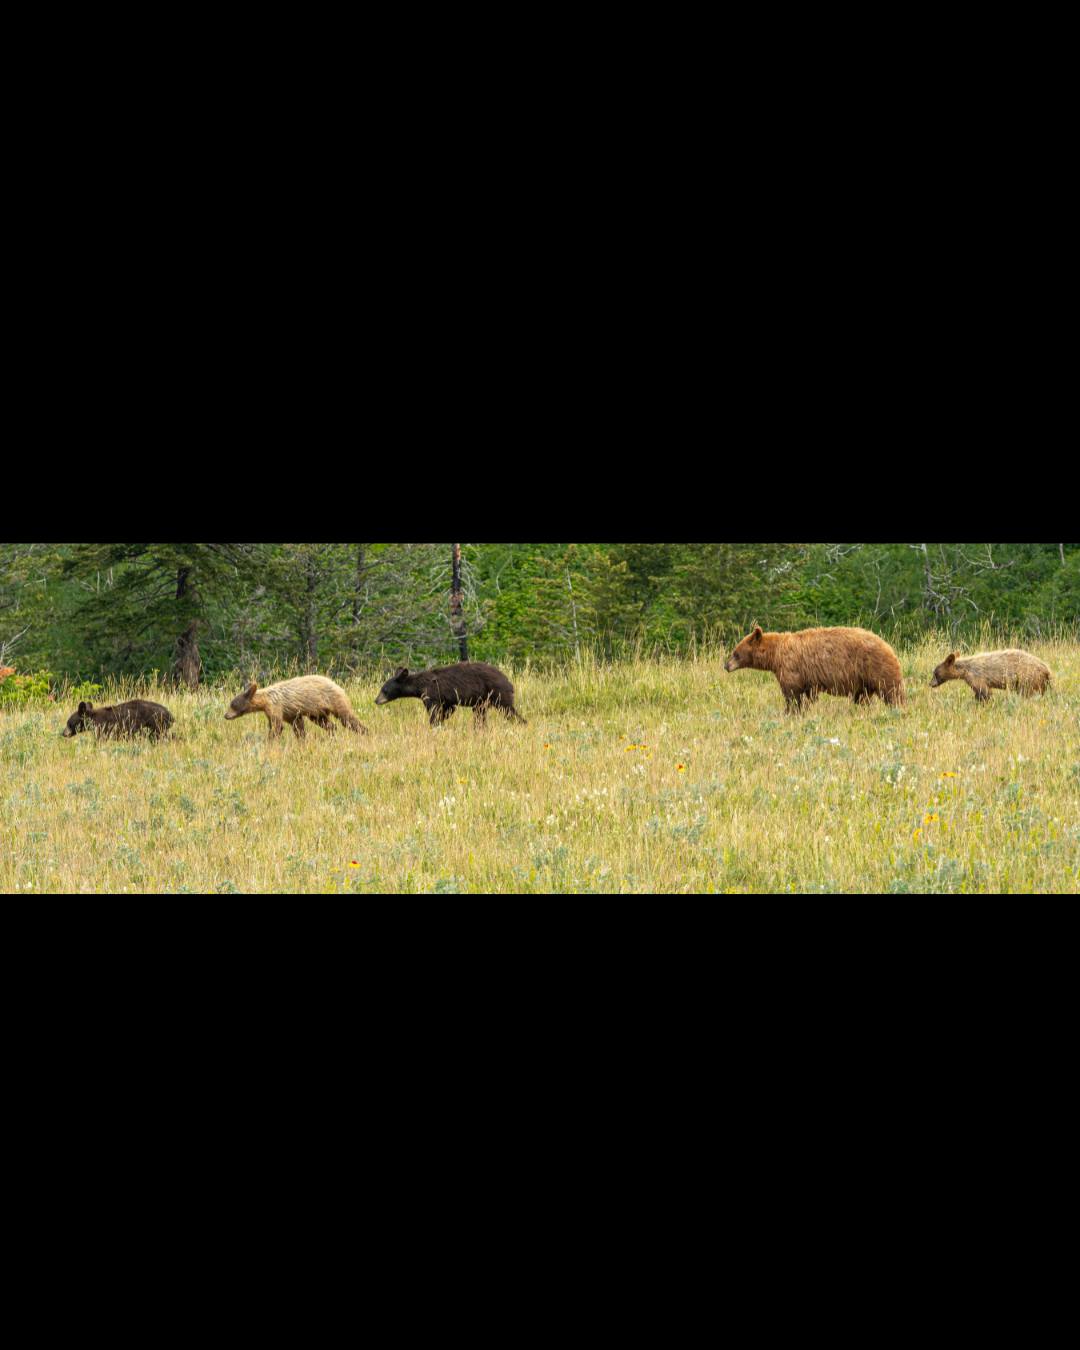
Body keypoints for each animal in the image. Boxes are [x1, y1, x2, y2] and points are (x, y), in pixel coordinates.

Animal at [225, 675, 368, 740]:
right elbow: (298, 726)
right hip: (316, 711)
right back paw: (331, 734)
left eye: (232, 704)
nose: (226, 715)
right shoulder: (289, 713)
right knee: (326, 723)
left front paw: (270, 741)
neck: (264, 700)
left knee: (348, 719)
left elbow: (277, 726)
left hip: (334, 701)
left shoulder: (275, 706)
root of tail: (339, 687)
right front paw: (303, 739)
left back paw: (365, 732)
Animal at [375, 662, 527, 727]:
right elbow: (449, 709)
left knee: (508, 710)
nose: (376, 700)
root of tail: (508, 681)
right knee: (480, 715)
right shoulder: (444, 698)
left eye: (384, 690)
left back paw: (522, 723)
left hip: (497, 693)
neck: (419, 685)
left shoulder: (431, 693)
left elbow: (434, 711)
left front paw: (434, 724)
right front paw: (442, 721)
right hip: (482, 700)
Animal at [724, 625, 907, 713]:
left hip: (876, 667)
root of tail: (888, 647)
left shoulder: (790, 667)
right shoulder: (807, 679)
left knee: (892, 691)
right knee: (862, 698)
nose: (726, 665)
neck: (774, 655)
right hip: (864, 680)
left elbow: (792, 694)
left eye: (736, 653)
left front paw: (790, 712)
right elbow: (807, 696)